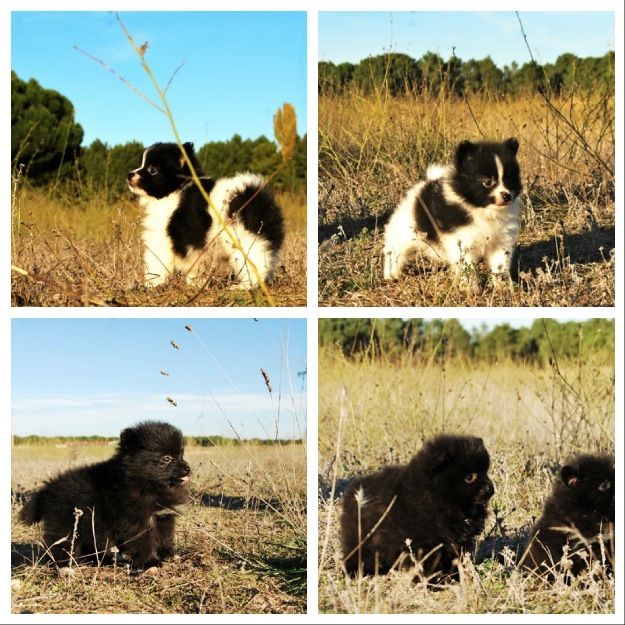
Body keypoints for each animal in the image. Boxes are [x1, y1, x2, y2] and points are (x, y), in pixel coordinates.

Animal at [19, 422, 190, 568]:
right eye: (166, 459)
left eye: (181, 455)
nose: (187, 468)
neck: (146, 484)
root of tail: (47, 489)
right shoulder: (137, 520)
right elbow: (143, 540)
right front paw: (150, 562)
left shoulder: (163, 516)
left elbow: (164, 537)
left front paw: (168, 554)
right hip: (66, 525)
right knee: (61, 546)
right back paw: (64, 568)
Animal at [128, 141, 284, 288]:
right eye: (140, 165)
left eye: (152, 170)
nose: (130, 174)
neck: (176, 191)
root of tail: (254, 194)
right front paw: (194, 284)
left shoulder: (160, 239)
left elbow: (156, 265)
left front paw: (152, 284)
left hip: (244, 239)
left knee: (254, 263)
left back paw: (244, 286)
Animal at [342, 432, 492, 584]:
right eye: (469, 476)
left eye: (485, 472)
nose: (490, 488)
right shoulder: (424, 543)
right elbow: (428, 564)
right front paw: (431, 582)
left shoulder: (455, 543)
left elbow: (454, 561)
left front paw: (454, 579)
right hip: (361, 537)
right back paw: (355, 574)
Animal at [380, 140, 520, 282]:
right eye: (487, 182)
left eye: (510, 180)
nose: (507, 196)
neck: (483, 211)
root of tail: (426, 183)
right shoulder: (462, 240)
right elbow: (465, 266)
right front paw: (469, 284)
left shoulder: (501, 241)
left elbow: (500, 265)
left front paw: (503, 284)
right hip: (405, 229)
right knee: (395, 249)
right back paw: (391, 274)